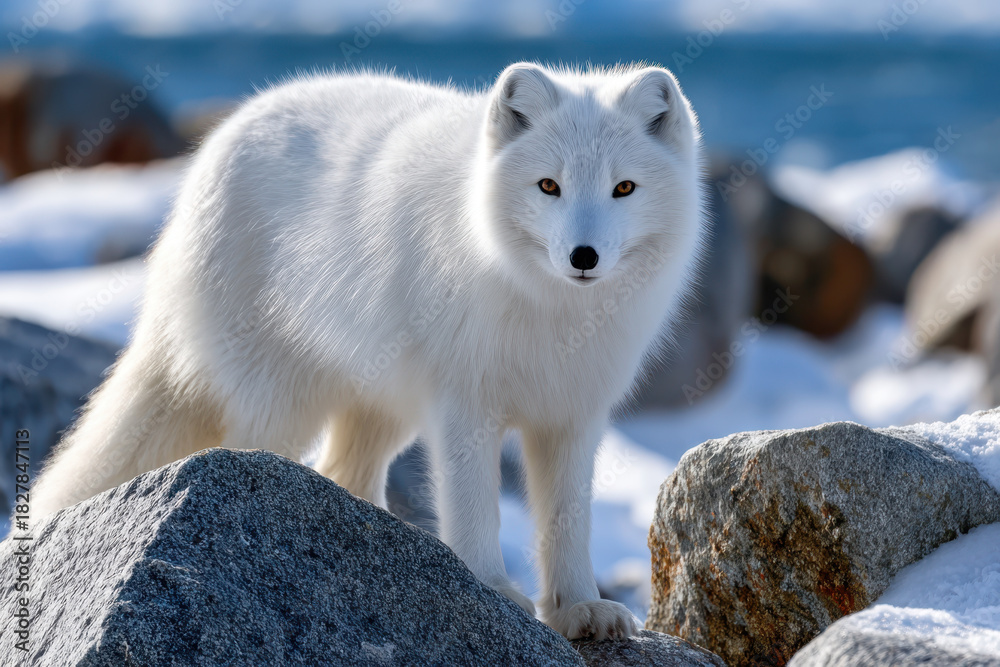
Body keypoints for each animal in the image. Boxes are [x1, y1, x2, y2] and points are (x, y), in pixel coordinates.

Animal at [32, 62, 706, 640]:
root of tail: (217, 145)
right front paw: (492, 589)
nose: (583, 257)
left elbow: (568, 522)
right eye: (549, 186)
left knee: (344, 472)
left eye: (623, 188)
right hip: (284, 402)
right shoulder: (464, 406)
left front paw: (578, 610)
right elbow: (473, 509)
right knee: (259, 453)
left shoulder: (572, 416)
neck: (552, 314)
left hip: (385, 406)